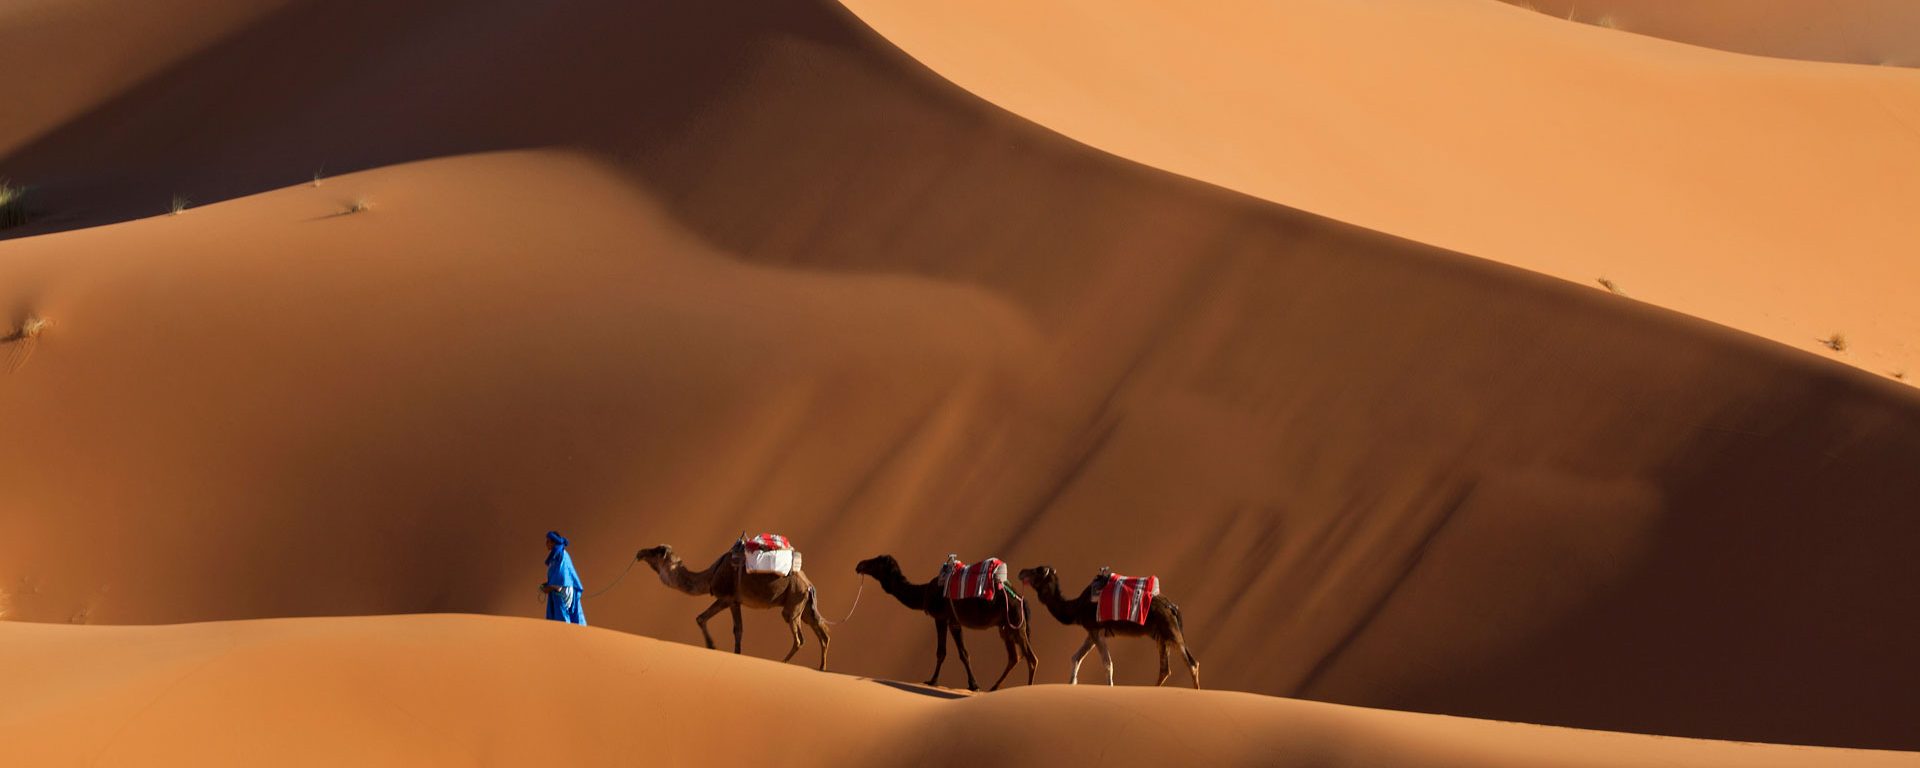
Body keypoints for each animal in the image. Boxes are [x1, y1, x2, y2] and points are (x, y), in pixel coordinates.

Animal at [635, 543, 830, 670]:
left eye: (657, 551)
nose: (640, 552)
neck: (710, 576)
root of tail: (809, 584)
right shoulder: (735, 602)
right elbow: (733, 628)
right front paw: (727, 650)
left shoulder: (727, 598)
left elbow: (708, 620)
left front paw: (714, 646)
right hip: (805, 606)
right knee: (822, 632)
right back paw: (822, 667)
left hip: (793, 603)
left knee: (799, 638)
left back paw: (783, 662)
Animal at [853, 555, 1037, 691]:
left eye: (876, 561)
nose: (859, 564)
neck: (924, 592)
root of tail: (1022, 599)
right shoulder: (954, 622)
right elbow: (964, 653)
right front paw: (973, 685)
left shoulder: (940, 618)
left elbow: (941, 652)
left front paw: (932, 681)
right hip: (1005, 627)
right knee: (1013, 657)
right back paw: (994, 687)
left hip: (1016, 622)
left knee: (1031, 658)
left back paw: (1028, 688)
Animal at [1017, 565, 1200, 688]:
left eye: (1038, 570)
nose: (1021, 572)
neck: (1077, 607)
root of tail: (1172, 607)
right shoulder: (1091, 632)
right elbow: (1075, 658)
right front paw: (1071, 684)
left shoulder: (1095, 630)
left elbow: (1107, 664)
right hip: (1161, 636)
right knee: (1165, 669)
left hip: (1170, 630)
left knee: (1192, 663)